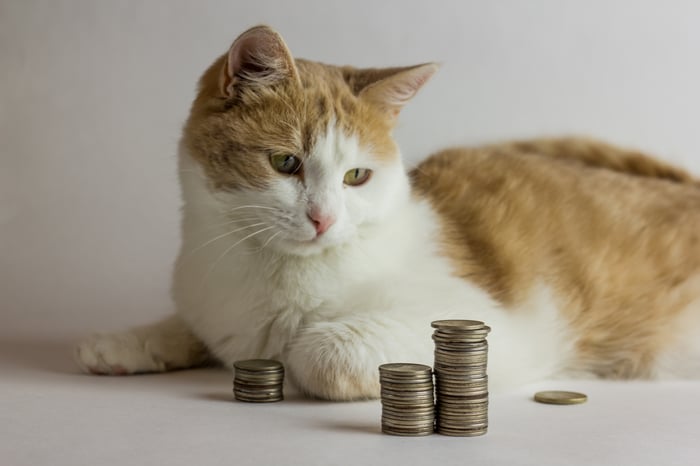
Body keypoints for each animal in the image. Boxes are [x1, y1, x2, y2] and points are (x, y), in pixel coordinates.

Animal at [74, 24, 700, 400]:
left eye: (357, 176)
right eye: (285, 162)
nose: (323, 219)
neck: (264, 272)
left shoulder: (492, 323)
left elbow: (318, 350)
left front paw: (296, 355)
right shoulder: (211, 303)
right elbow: (193, 326)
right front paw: (129, 341)